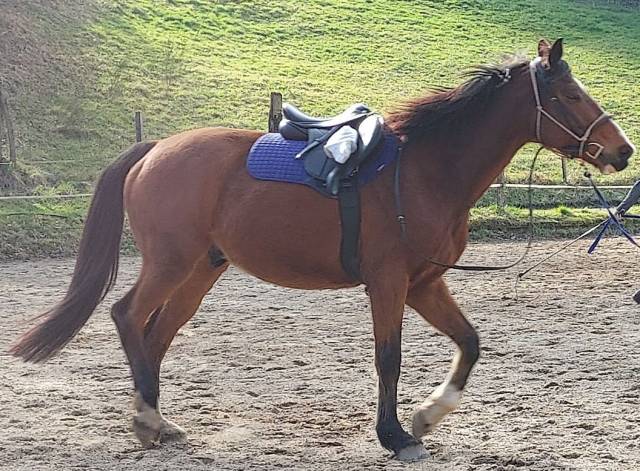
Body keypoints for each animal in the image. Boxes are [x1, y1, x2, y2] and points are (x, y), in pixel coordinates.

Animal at [10, 39, 635, 460]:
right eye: (570, 95)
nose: (622, 150)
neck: (424, 171)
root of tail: (157, 147)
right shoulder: (389, 283)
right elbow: (389, 358)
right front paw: (395, 435)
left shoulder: (425, 284)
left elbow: (470, 343)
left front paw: (427, 416)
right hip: (171, 263)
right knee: (127, 316)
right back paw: (144, 420)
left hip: (200, 272)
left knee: (155, 334)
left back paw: (161, 422)